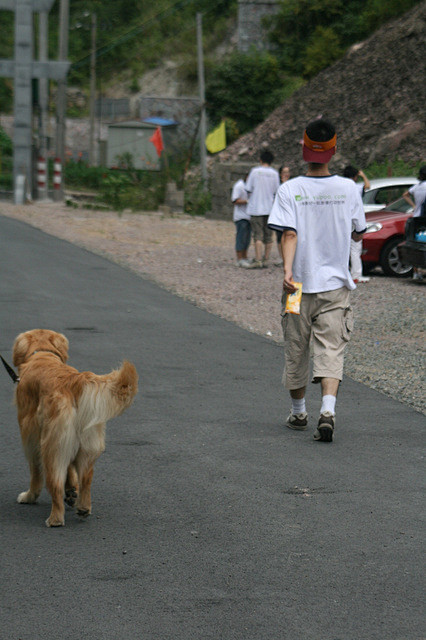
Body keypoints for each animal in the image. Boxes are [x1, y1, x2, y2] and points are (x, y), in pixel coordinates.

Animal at [12, 328, 138, 528]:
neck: (43, 354)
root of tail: (74, 381)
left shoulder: (30, 437)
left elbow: (35, 472)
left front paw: (30, 496)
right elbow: (71, 470)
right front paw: (71, 489)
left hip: (51, 448)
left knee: (54, 483)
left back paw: (55, 519)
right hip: (84, 443)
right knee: (86, 477)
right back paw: (83, 506)